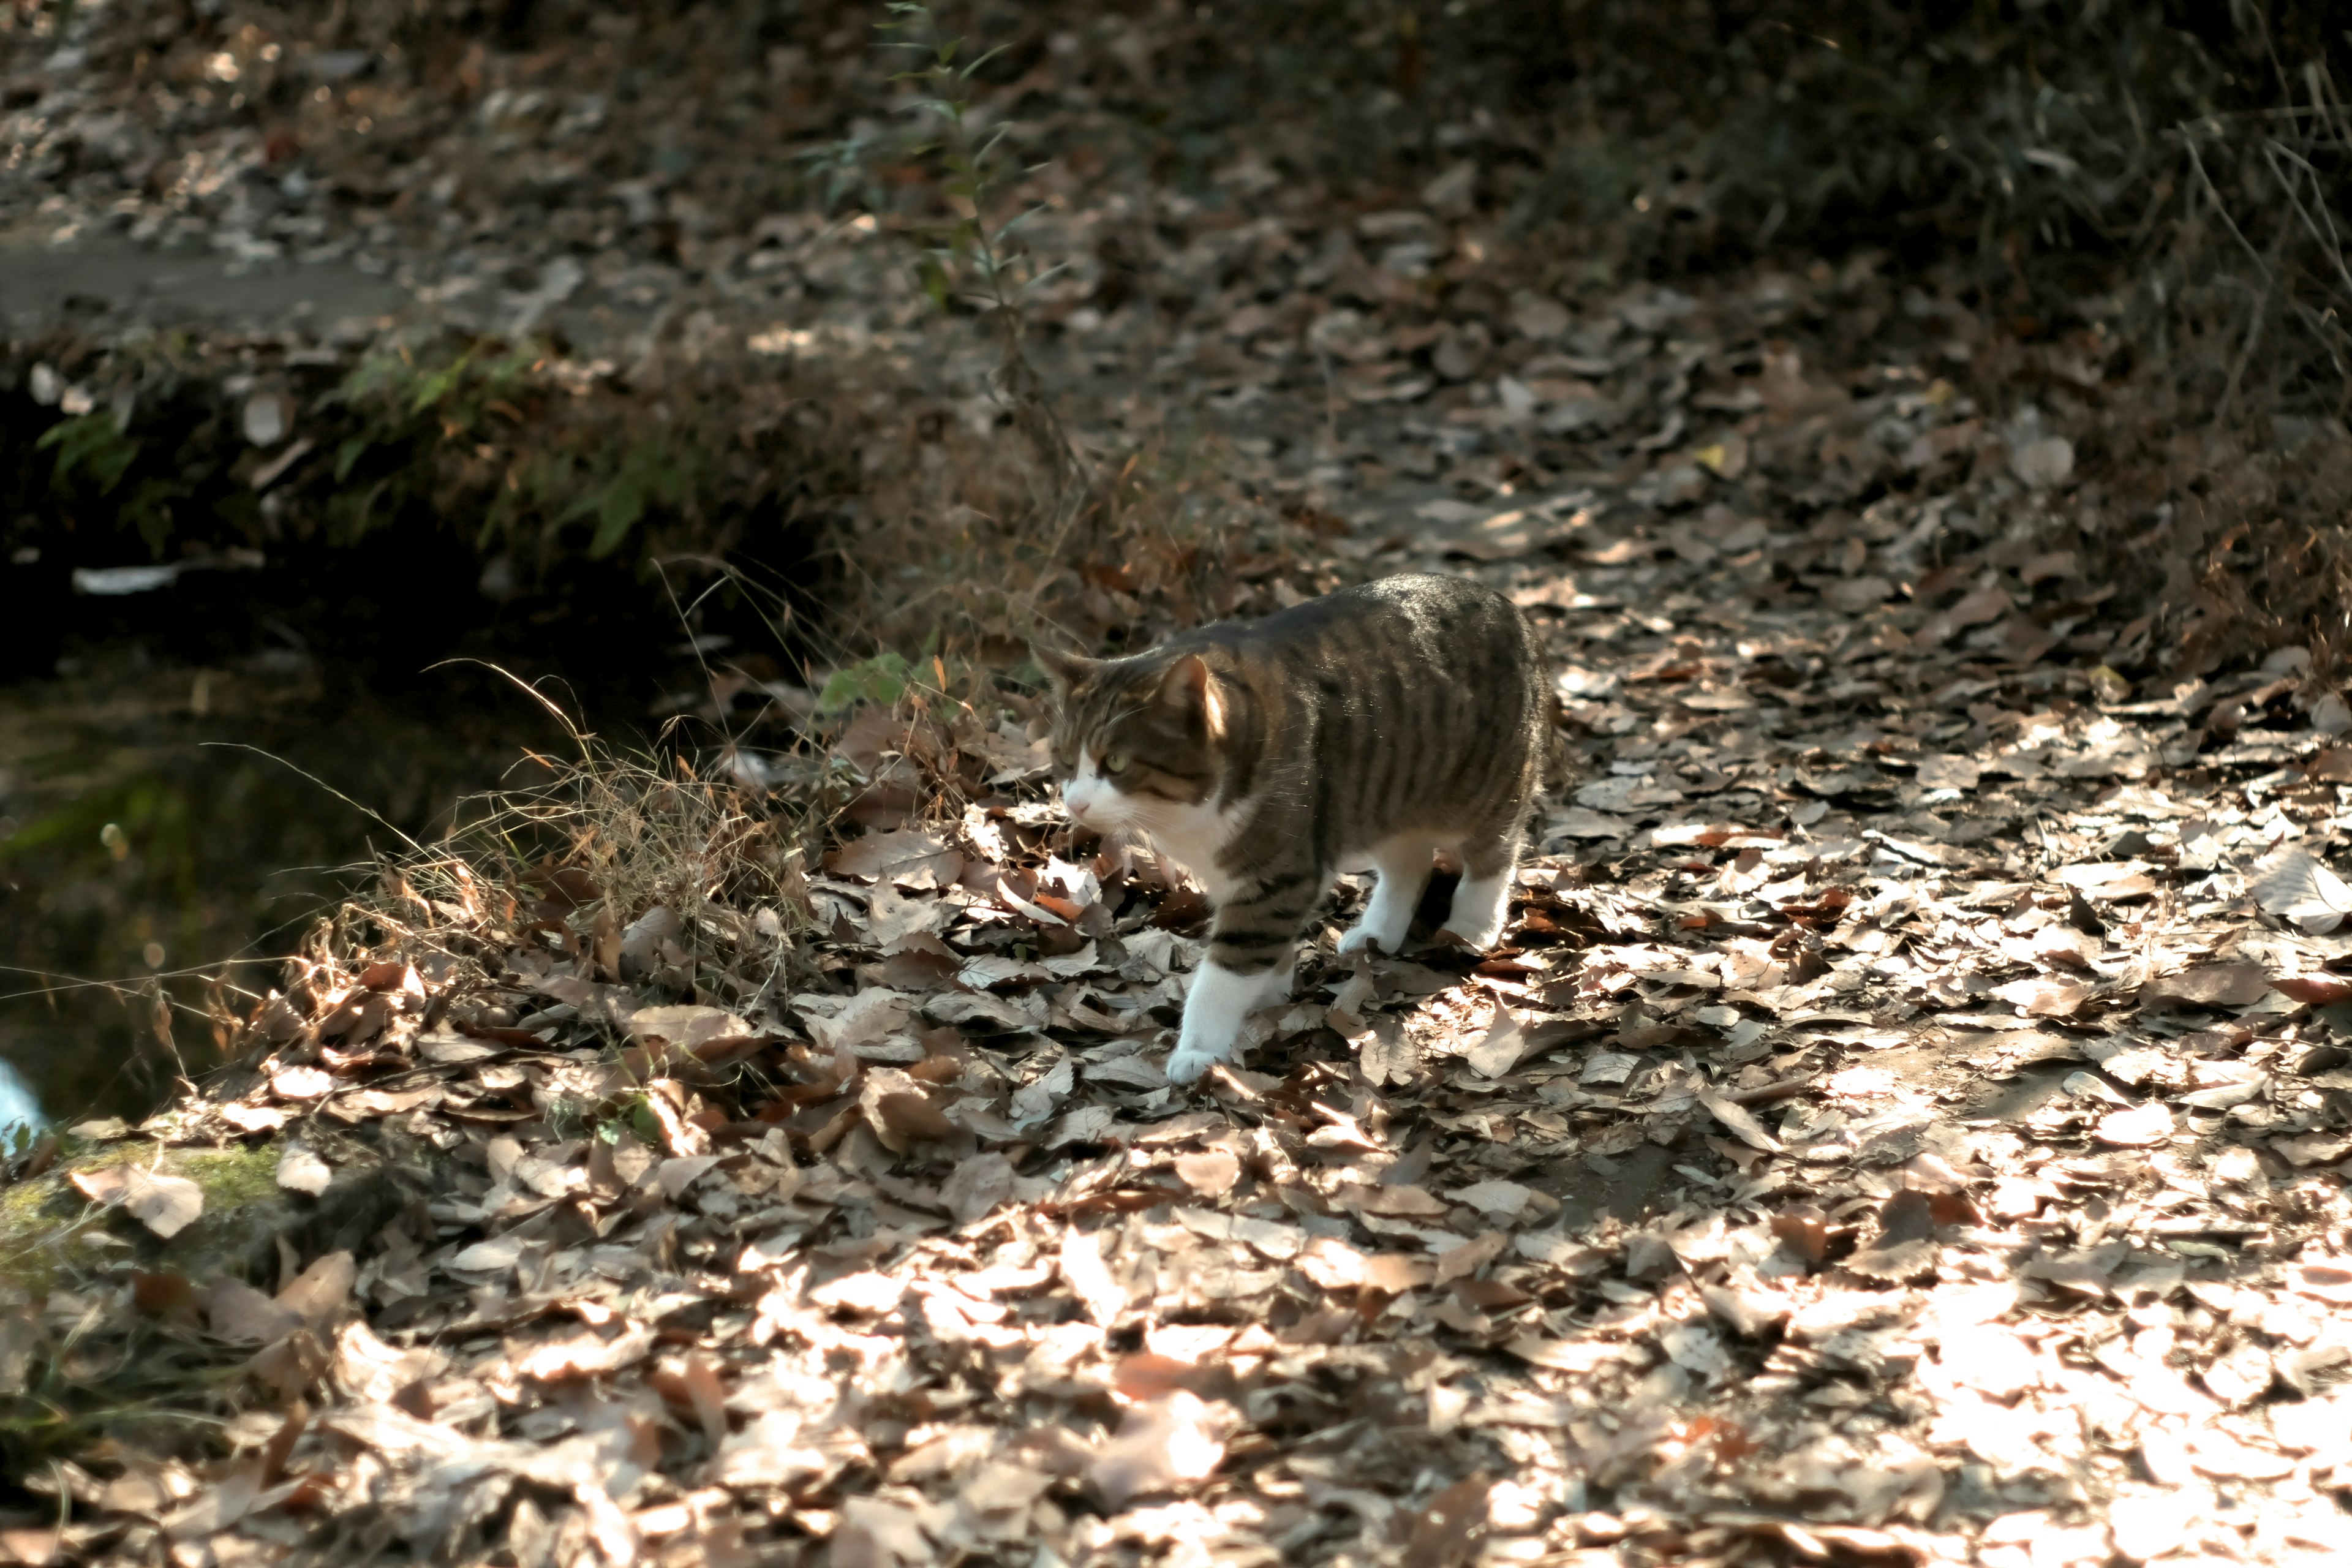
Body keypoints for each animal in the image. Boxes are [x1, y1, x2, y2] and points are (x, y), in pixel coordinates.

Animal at [1039, 571, 1552, 1086]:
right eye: (1064, 759)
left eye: (1116, 762)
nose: (1076, 803)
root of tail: (1509, 608)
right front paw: (1271, 993)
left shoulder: (1277, 875)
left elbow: (1226, 970)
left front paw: (1199, 1049)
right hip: (1384, 796)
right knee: (1411, 864)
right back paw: (1376, 933)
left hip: (1484, 787)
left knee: (1494, 854)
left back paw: (1472, 927)